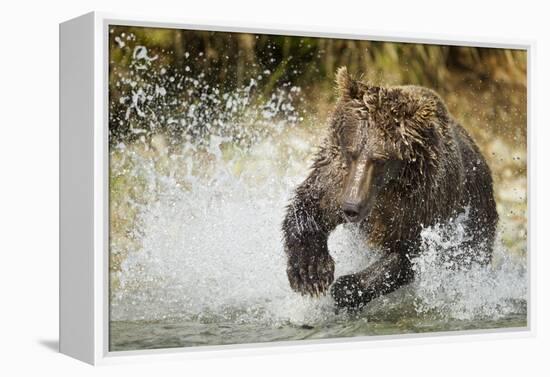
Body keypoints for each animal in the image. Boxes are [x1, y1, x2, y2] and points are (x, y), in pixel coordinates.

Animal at [284, 67, 500, 308]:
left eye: (380, 159)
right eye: (351, 152)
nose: (351, 208)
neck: (387, 188)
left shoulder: (424, 204)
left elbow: (410, 255)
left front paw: (348, 287)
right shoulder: (337, 178)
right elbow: (311, 204)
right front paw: (311, 273)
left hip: (477, 221)